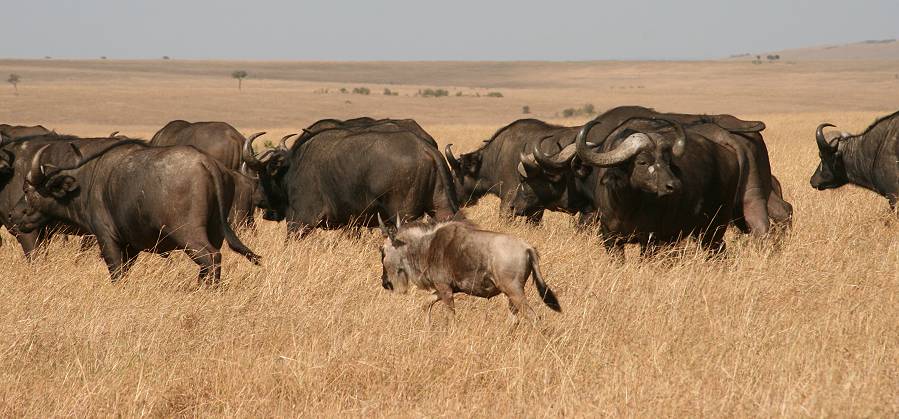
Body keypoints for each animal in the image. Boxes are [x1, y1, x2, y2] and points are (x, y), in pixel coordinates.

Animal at [7, 139, 260, 284]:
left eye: (27, 190)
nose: (12, 214)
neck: (87, 183)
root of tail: (208, 163)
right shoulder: (131, 246)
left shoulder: (107, 239)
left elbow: (116, 273)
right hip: (216, 231)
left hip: (189, 235)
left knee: (211, 258)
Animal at [241, 118, 458, 238]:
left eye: (262, 174)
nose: (257, 199)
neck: (293, 166)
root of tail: (425, 148)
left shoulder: (300, 221)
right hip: (442, 208)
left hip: (403, 216)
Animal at [376, 215, 560, 324]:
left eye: (382, 251)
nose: (385, 282)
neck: (427, 246)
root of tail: (528, 248)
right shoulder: (447, 288)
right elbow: (426, 304)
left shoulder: (445, 289)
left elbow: (451, 316)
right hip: (511, 295)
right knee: (514, 320)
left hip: (514, 292)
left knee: (533, 317)